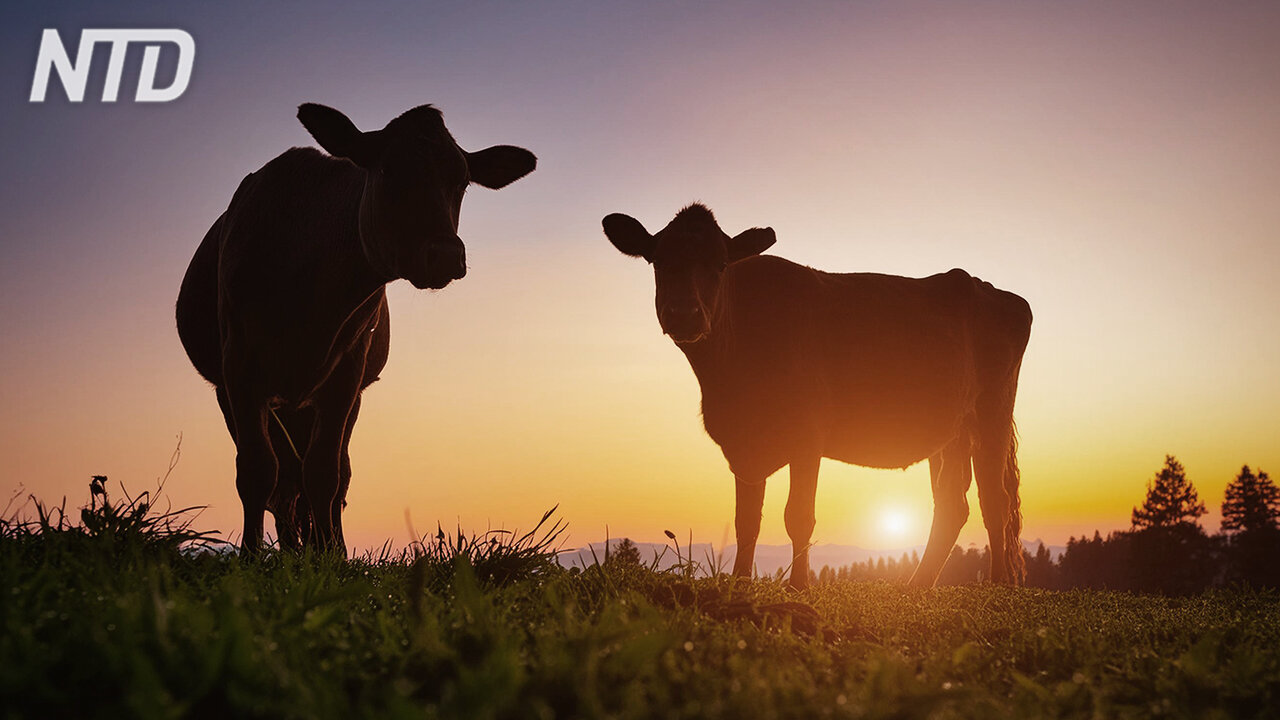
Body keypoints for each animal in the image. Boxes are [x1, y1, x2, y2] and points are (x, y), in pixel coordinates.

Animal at [176, 102, 535, 548]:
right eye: (388, 169)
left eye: (462, 181)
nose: (446, 254)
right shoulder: (238, 367)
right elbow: (259, 470)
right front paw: (253, 557)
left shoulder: (346, 372)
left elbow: (324, 472)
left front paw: (329, 554)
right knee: (284, 479)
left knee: (322, 475)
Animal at [604, 202, 1034, 584]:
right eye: (658, 261)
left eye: (720, 265)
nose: (684, 314)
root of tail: (989, 287)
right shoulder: (741, 445)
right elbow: (747, 522)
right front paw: (739, 583)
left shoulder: (807, 437)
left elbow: (798, 517)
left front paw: (799, 586)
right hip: (951, 432)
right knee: (952, 504)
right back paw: (917, 586)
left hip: (991, 412)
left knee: (994, 501)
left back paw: (999, 585)